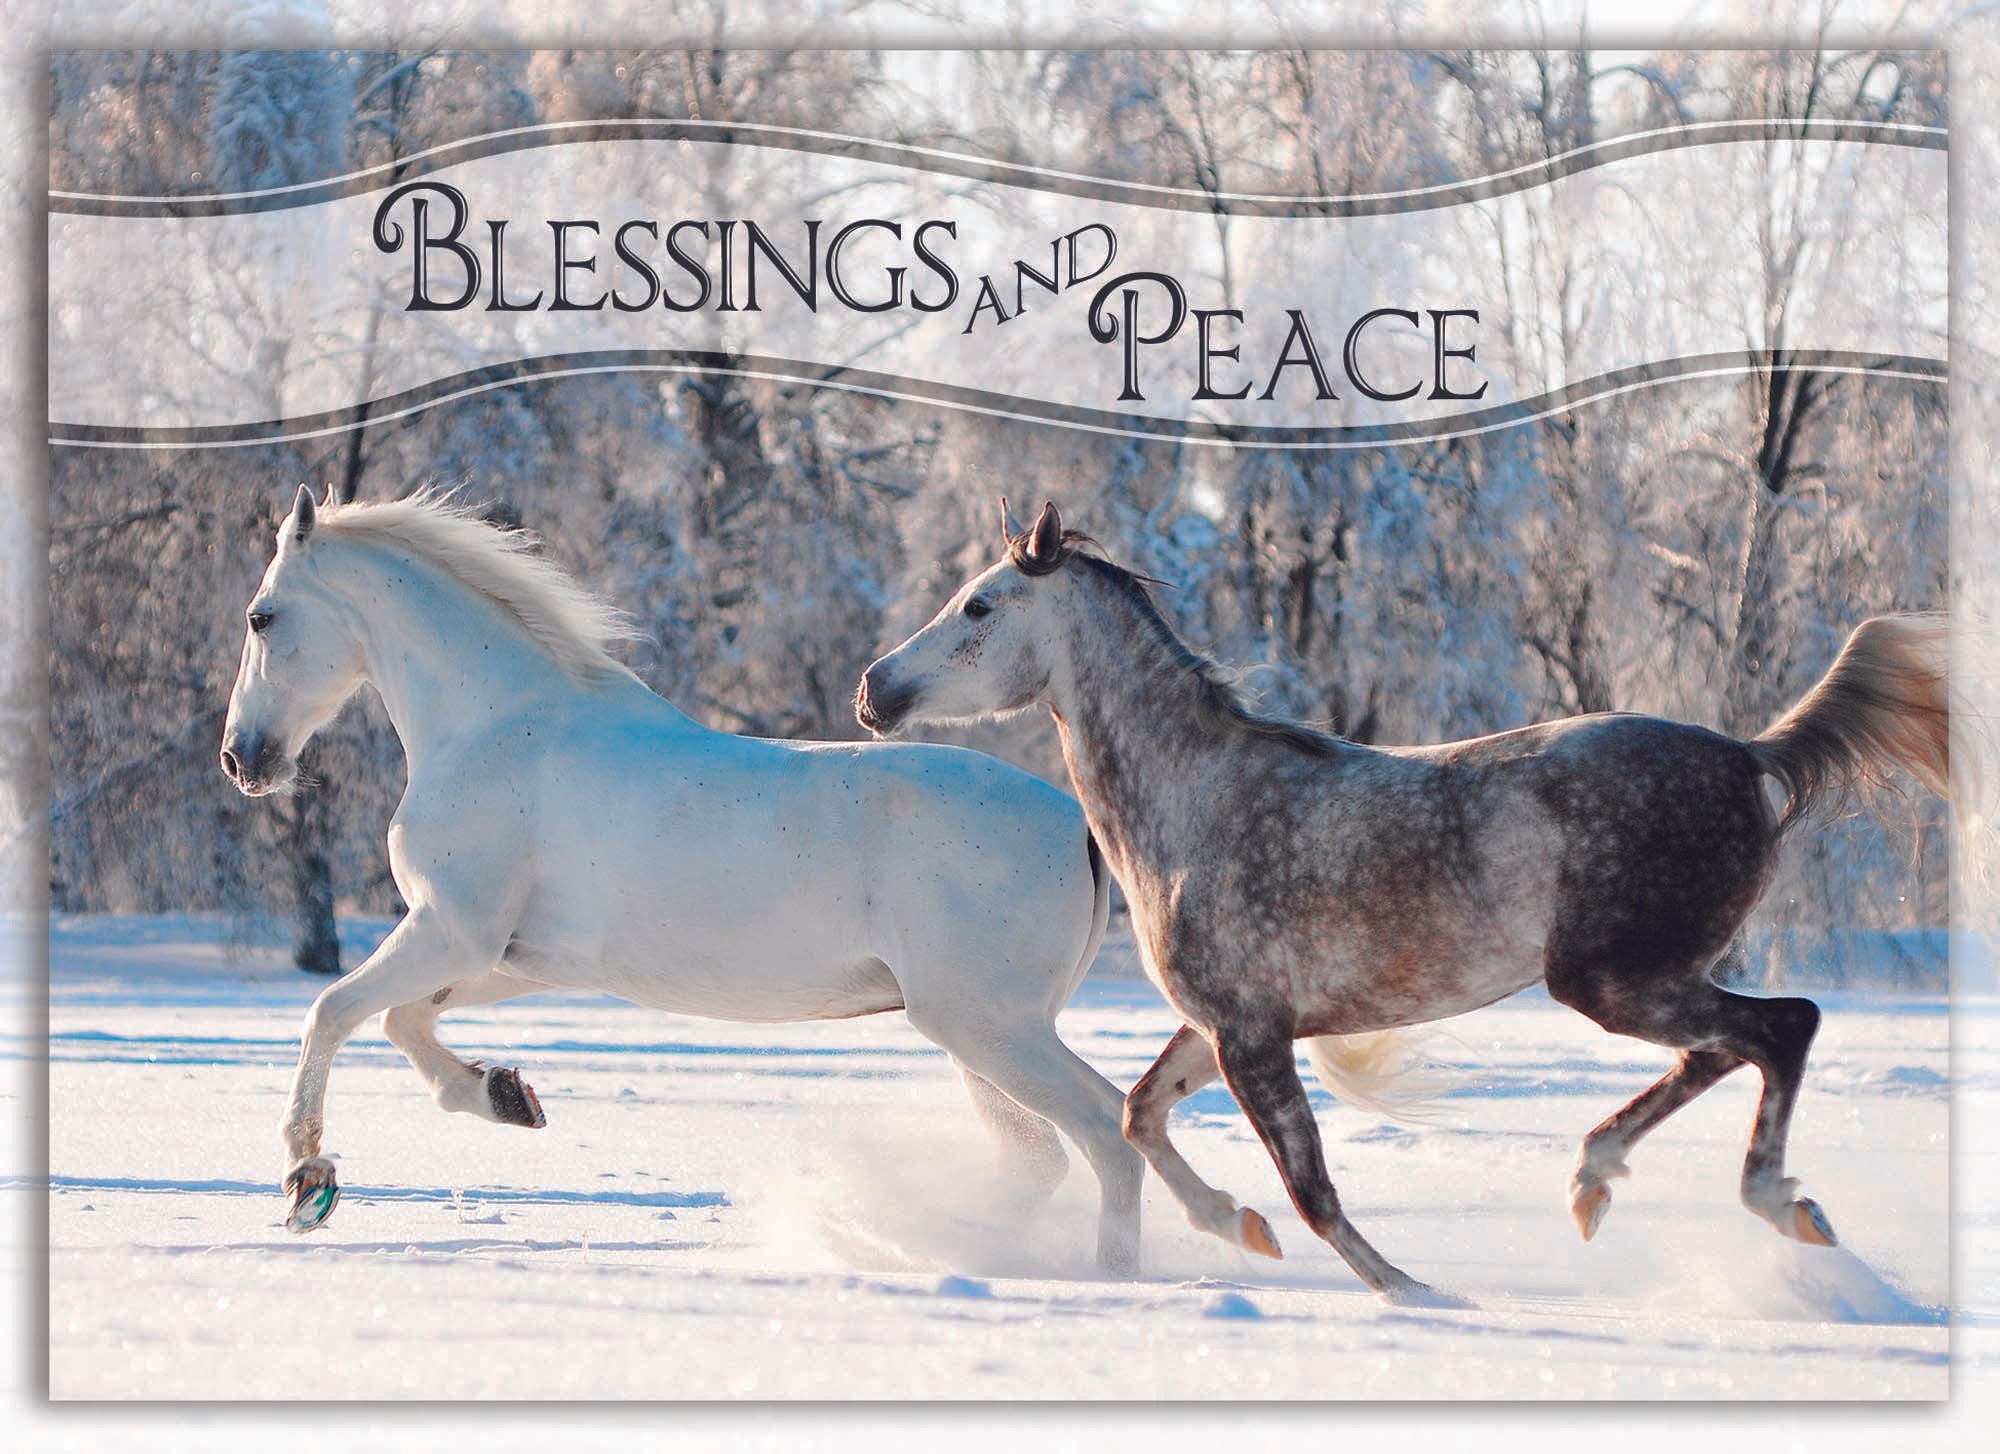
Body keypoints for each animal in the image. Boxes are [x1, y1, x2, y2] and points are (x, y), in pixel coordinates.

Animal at [220, 485, 1143, 1271]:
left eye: (261, 617)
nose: (241, 759)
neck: (496, 727)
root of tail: (1081, 831)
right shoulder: (507, 957)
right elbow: (400, 1022)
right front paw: (505, 1095)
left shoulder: (447, 930)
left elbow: (332, 1011)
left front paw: (308, 1182)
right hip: (974, 1033)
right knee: (1040, 1159)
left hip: (990, 1030)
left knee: (1110, 1134)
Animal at [856, 498, 1948, 1304]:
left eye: (978, 606)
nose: (873, 691)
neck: (1196, 796)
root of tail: (1753, 755)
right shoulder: (1220, 1027)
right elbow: (1139, 1115)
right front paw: (1236, 1226)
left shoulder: (1251, 1034)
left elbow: (1309, 1187)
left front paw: (1412, 1292)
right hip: (1644, 980)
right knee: (1721, 1051)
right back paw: (1593, 1183)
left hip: (1612, 982)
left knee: (1781, 1028)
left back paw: (1776, 1203)